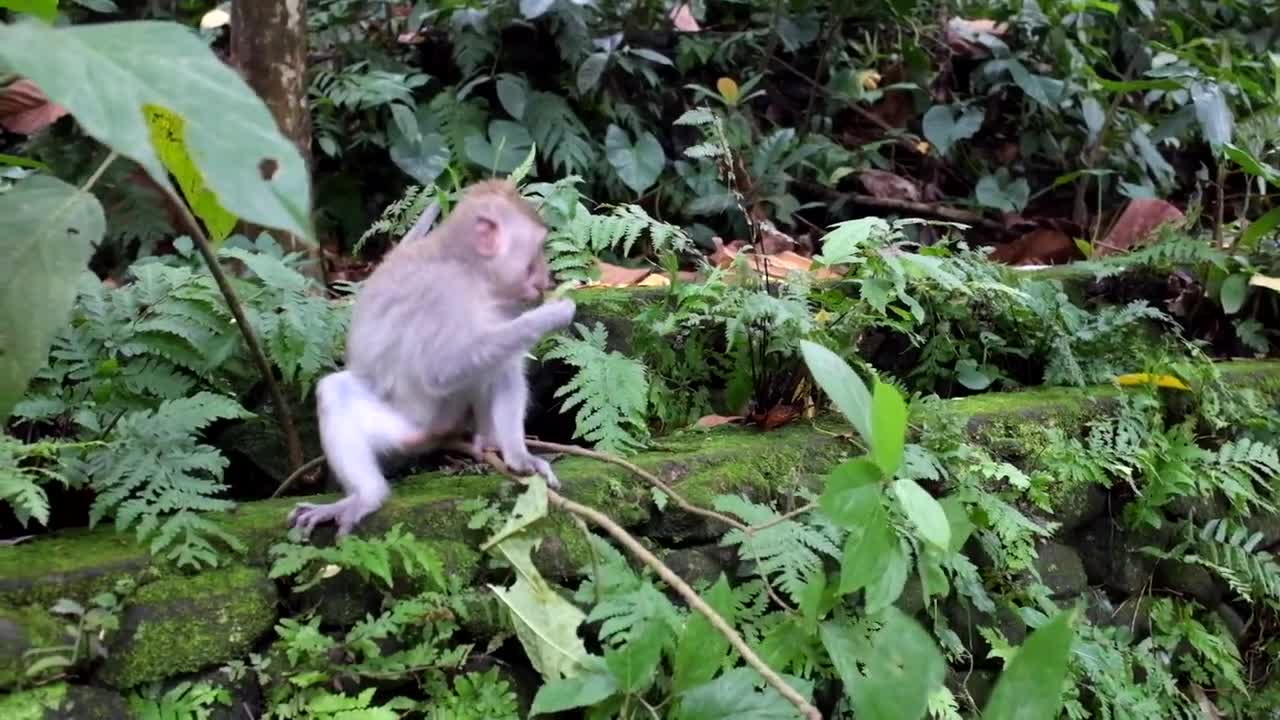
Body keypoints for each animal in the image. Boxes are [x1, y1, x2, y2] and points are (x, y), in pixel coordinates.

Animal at [290, 179, 576, 535]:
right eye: (537, 249)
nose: (547, 278)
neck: (471, 272)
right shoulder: (442, 296)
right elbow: (438, 371)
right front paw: (551, 315)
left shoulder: (500, 304)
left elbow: (503, 367)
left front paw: (519, 457)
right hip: (409, 430)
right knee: (337, 391)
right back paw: (366, 498)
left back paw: (489, 441)